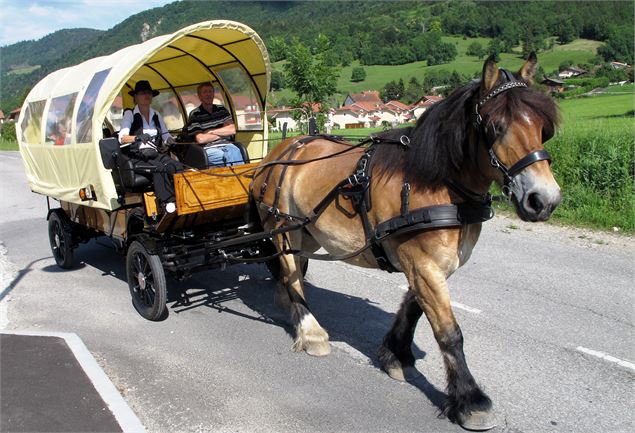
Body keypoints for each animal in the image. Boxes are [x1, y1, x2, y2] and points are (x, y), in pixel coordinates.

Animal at [252, 54, 560, 428]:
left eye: (544, 127)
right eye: (496, 127)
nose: (543, 200)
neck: (436, 183)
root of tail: (282, 150)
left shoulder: (430, 262)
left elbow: (413, 308)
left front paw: (394, 354)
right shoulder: (423, 263)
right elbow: (449, 332)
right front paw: (470, 399)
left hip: (308, 231)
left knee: (292, 267)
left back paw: (287, 303)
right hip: (283, 225)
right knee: (291, 269)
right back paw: (310, 330)